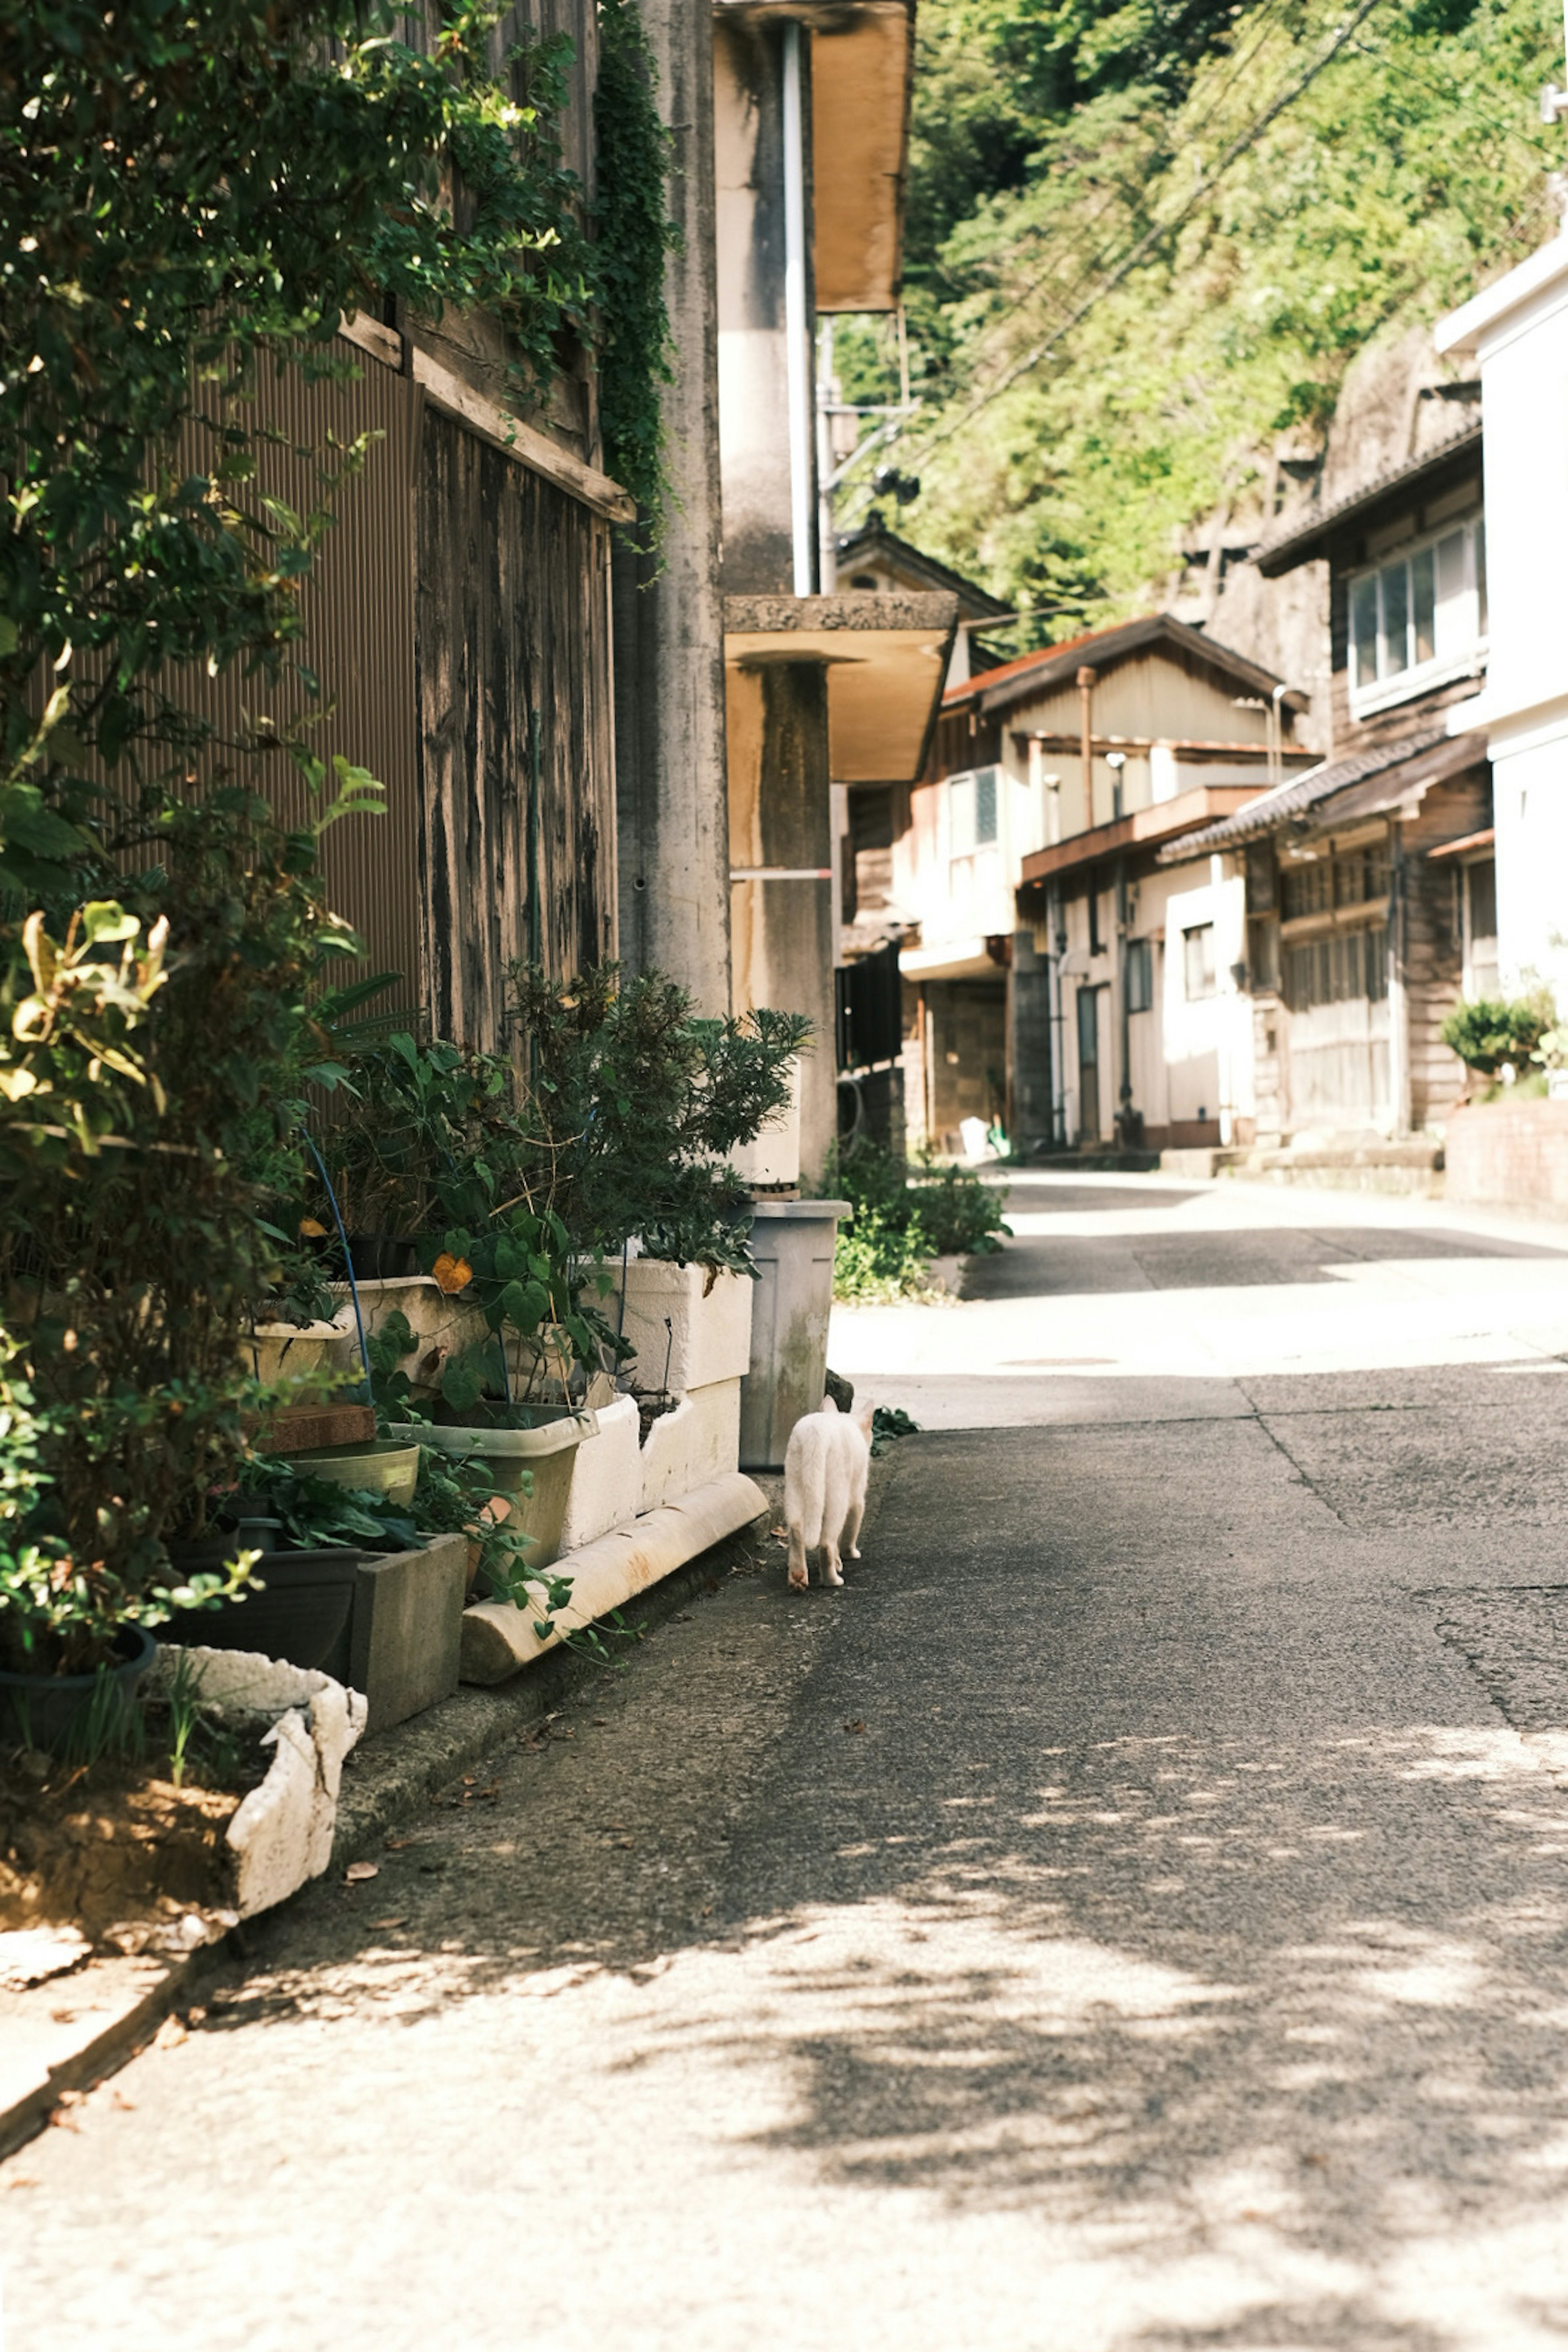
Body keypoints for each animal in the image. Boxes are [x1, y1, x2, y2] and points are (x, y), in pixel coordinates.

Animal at [780, 1392, 870, 1599]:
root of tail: (815, 1434)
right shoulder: (857, 1499)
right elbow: (850, 1531)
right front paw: (849, 1555)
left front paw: (839, 1562)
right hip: (838, 1495)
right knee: (827, 1543)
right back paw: (833, 1580)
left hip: (795, 1486)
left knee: (796, 1530)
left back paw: (798, 1578)